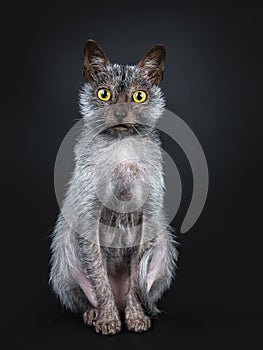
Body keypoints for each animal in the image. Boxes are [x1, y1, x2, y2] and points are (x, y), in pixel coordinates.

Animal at [50, 39, 177, 334]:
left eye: (139, 96)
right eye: (104, 94)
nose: (119, 112)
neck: (122, 150)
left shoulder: (147, 217)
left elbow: (134, 286)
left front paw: (135, 318)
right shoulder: (89, 220)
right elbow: (99, 278)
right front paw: (108, 320)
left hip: (164, 244)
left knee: (140, 286)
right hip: (64, 247)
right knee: (87, 295)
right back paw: (94, 313)